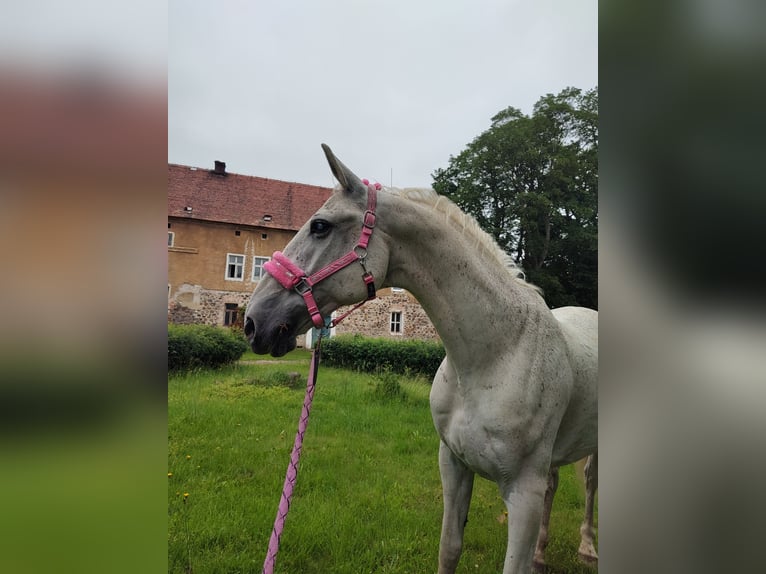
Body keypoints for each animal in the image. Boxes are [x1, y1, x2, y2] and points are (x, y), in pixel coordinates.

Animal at [246, 146, 600, 572]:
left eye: (320, 226)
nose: (253, 321)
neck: (496, 353)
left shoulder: (523, 492)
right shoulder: (453, 465)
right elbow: (449, 548)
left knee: (590, 483)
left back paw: (587, 547)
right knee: (556, 485)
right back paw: (542, 554)